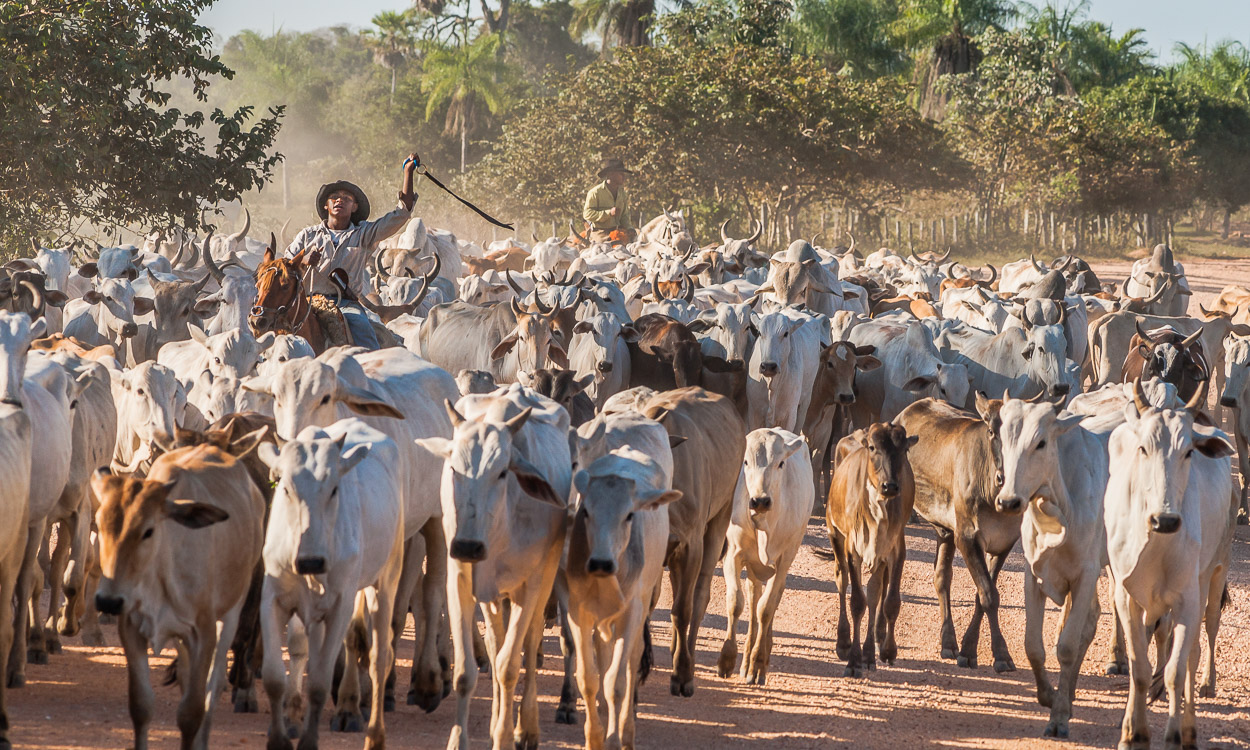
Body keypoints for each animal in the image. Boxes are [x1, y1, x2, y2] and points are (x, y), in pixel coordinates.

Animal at [720, 425, 815, 685]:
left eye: (780, 463)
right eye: (745, 461)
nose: (760, 500)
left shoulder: (783, 561)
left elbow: (766, 609)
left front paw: (757, 665)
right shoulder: (733, 555)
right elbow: (736, 602)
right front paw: (727, 659)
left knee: (771, 600)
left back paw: (761, 656)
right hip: (753, 567)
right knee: (753, 598)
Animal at [825, 425, 915, 675]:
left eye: (904, 449)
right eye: (873, 448)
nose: (890, 485)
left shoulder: (893, 548)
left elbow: (889, 601)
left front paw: (885, 652)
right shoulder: (851, 547)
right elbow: (857, 602)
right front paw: (854, 660)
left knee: (876, 594)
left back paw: (872, 647)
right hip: (835, 533)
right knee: (841, 579)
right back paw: (843, 642)